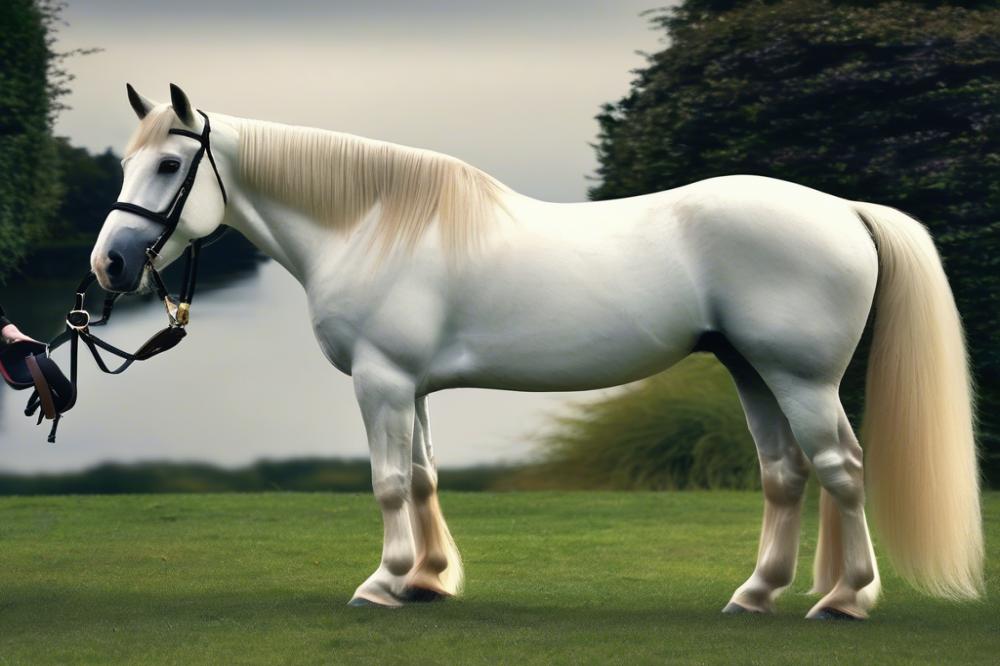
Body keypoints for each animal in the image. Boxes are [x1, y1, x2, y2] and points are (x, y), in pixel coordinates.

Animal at [90, 84, 980, 616]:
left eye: (169, 163)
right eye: (127, 162)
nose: (110, 265)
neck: (371, 224)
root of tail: (843, 210)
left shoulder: (381, 382)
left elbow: (387, 484)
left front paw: (384, 582)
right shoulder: (410, 388)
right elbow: (422, 478)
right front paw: (427, 581)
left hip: (801, 378)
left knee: (842, 470)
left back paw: (846, 600)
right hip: (752, 373)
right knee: (787, 475)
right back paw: (758, 593)